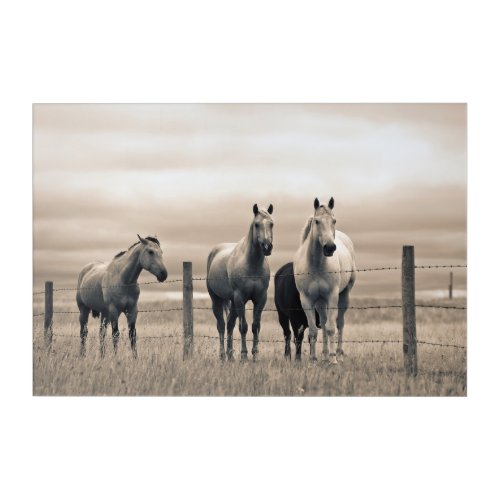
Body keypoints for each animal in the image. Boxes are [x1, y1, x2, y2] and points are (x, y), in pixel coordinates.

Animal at [292, 198, 356, 364]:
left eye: (334, 220)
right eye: (317, 221)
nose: (330, 247)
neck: (316, 265)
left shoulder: (332, 296)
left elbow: (331, 327)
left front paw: (333, 360)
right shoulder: (307, 300)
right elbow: (314, 330)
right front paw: (313, 359)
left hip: (344, 295)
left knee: (339, 323)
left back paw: (337, 354)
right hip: (320, 302)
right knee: (323, 321)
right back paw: (325, 354)